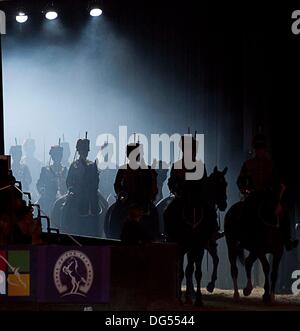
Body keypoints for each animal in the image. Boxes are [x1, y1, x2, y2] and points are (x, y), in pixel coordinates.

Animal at [164, 167, 227, 308]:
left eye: (225, 185)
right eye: (218, 185)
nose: (224, 205)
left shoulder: (200, 246)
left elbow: (196, 271)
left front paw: (198, 298)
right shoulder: (182, 247)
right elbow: (182, 272)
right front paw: (181, 298)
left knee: (190, 269)